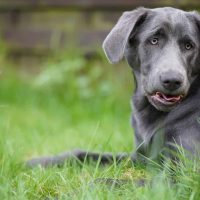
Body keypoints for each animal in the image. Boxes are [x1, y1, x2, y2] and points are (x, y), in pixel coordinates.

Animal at [26, 7, 200, 167]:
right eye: (154, 40)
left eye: (189, 46)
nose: (172, 80)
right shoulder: (140, 158)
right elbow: (83, 154)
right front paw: (39, 161)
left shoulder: (182, 169)